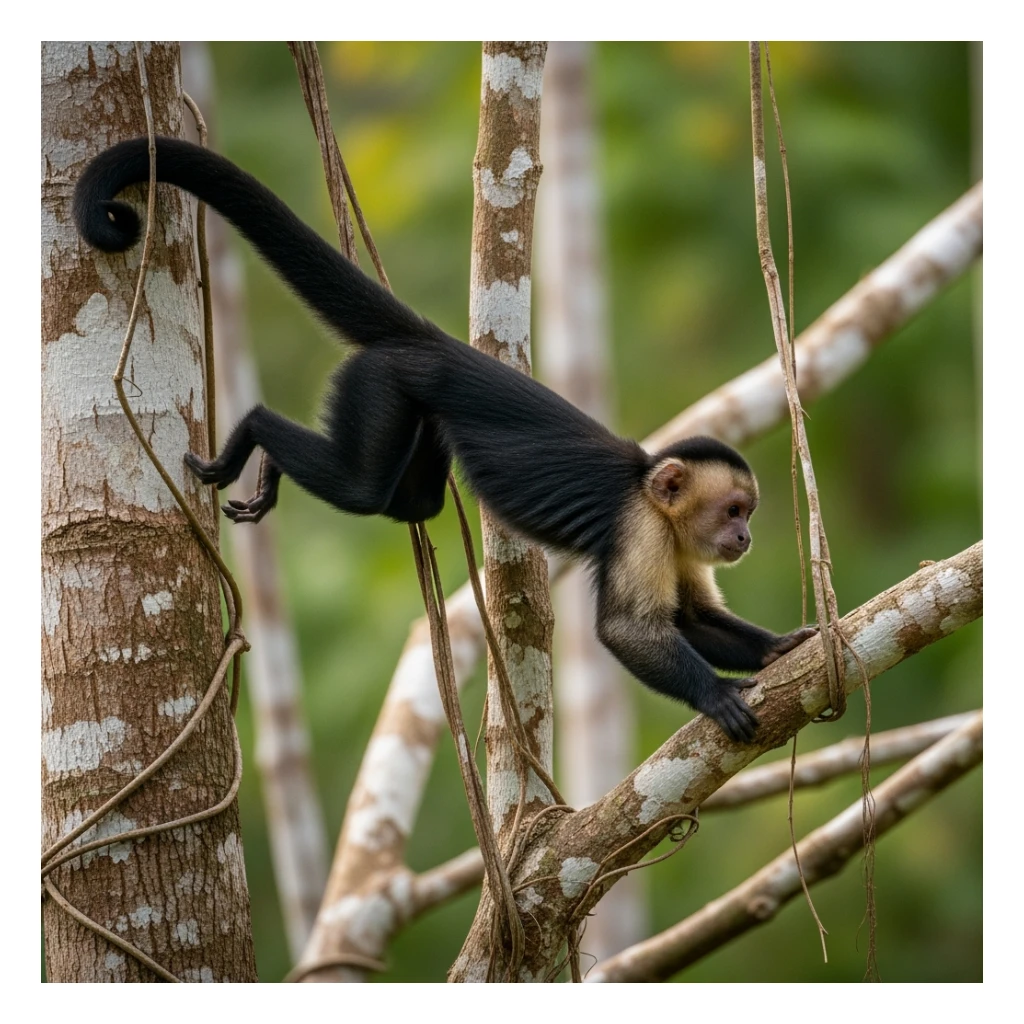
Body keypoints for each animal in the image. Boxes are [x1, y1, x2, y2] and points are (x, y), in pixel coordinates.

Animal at [73, 136, 817, 743]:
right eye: (734, 510)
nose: (744, 536)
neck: (655, 500)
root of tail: (436, 345)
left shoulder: (678, 545)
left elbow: (690, 619)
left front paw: (781, 648)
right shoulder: (640, 527)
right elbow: (628, 631)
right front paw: (716, 694)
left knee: (413, 504)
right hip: (379, 380)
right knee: (362, 487)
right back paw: (252, 431)